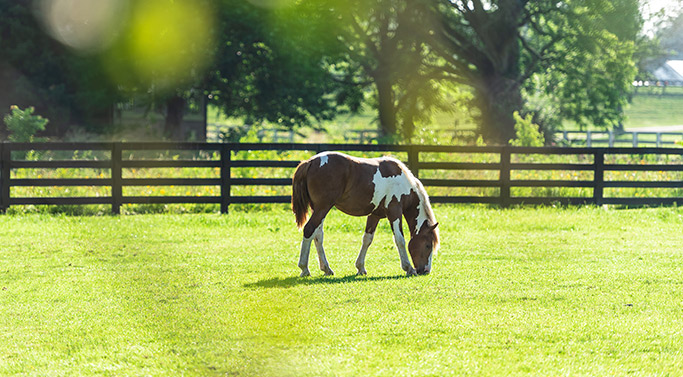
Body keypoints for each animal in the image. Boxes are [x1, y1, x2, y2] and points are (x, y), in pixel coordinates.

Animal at [292, 151, 440, 276]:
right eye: (428, 245)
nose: (425, 270)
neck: (403, 183)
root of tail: (310, 162)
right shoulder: (395, 211)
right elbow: (400, 240)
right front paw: (408, 268)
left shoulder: (375, 215)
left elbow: (367, 239)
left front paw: (360, 267)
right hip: (323, 208)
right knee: (309, 230)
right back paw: (304, 268)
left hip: (318, 209)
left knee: (317, 235)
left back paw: (326, 268)